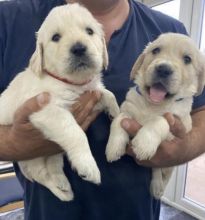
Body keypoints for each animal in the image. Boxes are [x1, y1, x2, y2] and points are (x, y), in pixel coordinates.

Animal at [0, 4, 119, 202]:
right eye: (56, 37)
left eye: (89, 31)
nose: (79, 49)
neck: (71, 82)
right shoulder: (47, 110)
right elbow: (75, 133)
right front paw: (88, 166)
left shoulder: (89, 92)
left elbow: (108, 94)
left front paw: (116, 113)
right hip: (31, 156)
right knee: (41, 175)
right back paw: (63, 193)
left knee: (53, 165)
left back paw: (62, 182)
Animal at [105, 33, 205, 199]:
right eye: (156, 50)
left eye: (187, 59)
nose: (163, 69)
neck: (152, 104)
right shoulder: (127, 108)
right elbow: (119, 120)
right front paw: (113, 146)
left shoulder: (177, 121)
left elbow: (160, 120)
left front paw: (144, 143)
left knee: (158, 169)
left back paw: (158, 186)